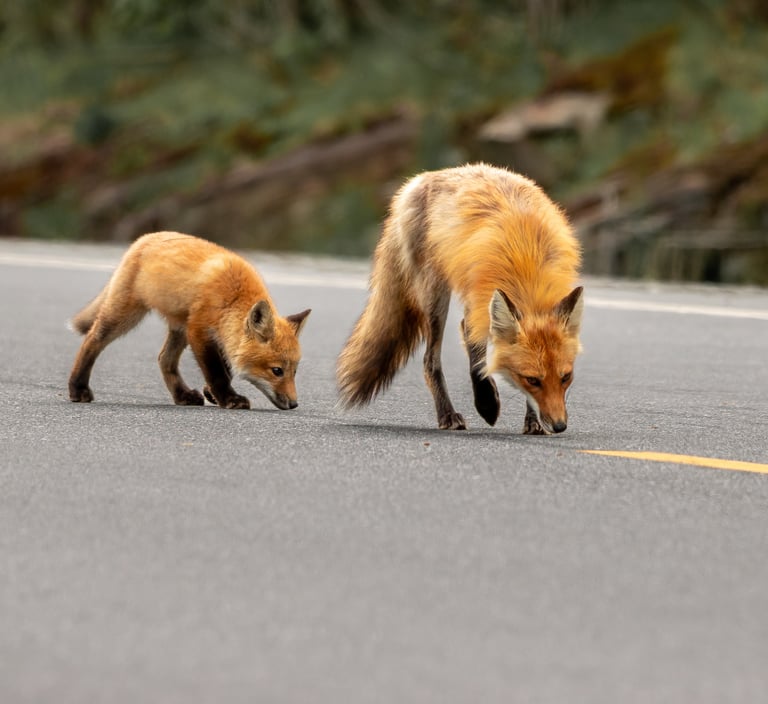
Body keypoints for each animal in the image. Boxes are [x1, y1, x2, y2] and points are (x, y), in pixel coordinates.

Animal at [68, 232, 310, 410]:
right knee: (92, 340)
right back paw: (77, 388)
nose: (294, 404)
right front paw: (228, 399)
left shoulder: (216, 334)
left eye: (294, 371)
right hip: (127, 315)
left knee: (164, 359)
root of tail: (144, 238)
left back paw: (182, 395)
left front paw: (211, 393)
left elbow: (226, 367)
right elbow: (217, 372)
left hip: (179, 327)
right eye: (277, 371)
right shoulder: (199, 330)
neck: (232, 298)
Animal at [336, 164, 584, 434]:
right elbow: (475, 355)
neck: (527, 265)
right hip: (435, 296)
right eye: (533, 380)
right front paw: (486, 403)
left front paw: (532, 421)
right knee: (430, 360)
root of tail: (420, 179)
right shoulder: (477, 299)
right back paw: (447, 414)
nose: (559, 426)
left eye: (565, 377)